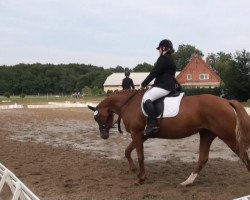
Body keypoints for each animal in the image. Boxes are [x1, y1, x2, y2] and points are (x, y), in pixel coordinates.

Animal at [88, 89, 250, 186]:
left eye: (98, 118)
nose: (103, 135)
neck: (129, 104)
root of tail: (226, 101)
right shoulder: (142, 135)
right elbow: (127, 151)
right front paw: (133, 169)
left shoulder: (137, 133)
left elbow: (140, 156)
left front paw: (141, 178)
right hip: (207, 134)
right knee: (203, 158)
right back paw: (187, 182)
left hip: (228, 137)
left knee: (244, 156)